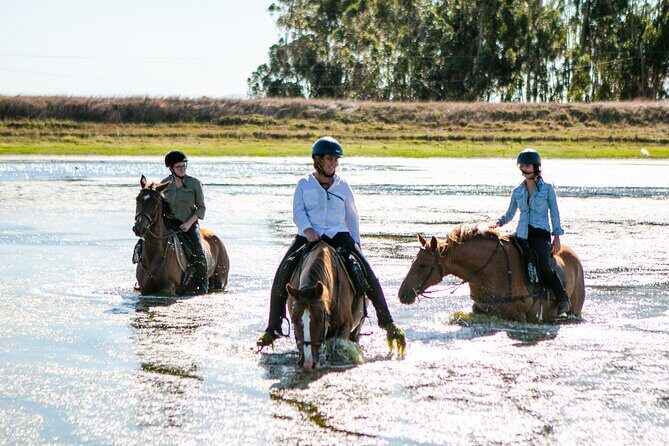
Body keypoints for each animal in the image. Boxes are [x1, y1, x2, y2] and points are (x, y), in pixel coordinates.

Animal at [285, 241, 366, 371]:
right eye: (294, 320)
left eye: (320, 319)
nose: (308, 364)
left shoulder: (346, 324)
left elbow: (338, 347)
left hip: (357, 328)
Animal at [398, 224, 585, 323]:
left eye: (422, 264)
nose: (403, 294)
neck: (490, 272)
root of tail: (575, 258)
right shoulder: (480, 310)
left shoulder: (519, 316)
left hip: (575, 310)